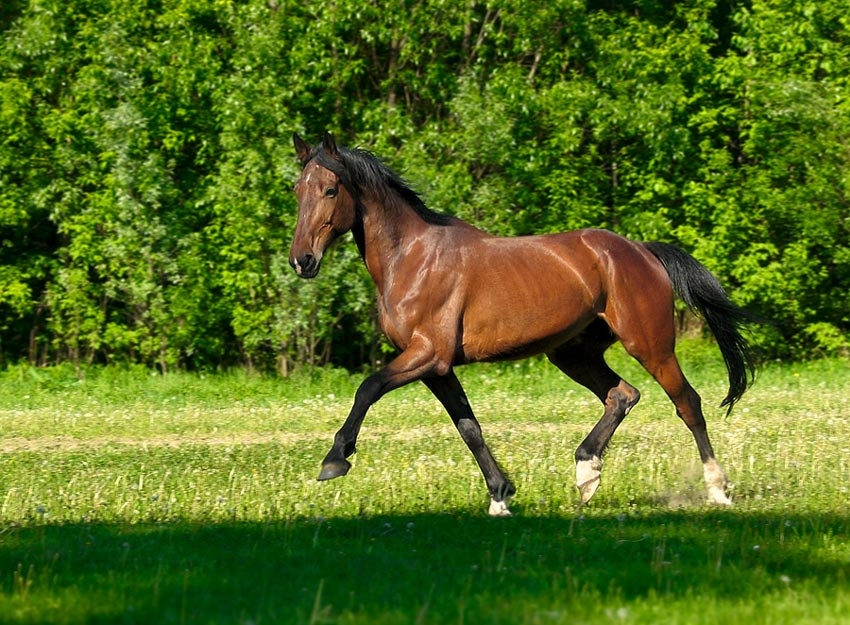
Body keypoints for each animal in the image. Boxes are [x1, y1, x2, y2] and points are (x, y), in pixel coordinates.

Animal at [289, 132, 755, 516]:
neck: (413, 257)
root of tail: (641, 250)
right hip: (572, 353)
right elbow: (469, 428)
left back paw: (717, 489)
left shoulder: (427, 354)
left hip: (649, 344)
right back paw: (587, 474)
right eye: (297, 190)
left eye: (330, 189)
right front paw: (500, 496)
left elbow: (368, 387)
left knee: (687, 403)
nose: (301, 260)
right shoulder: (437, 368)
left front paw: (335, 459)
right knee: (622, 395)